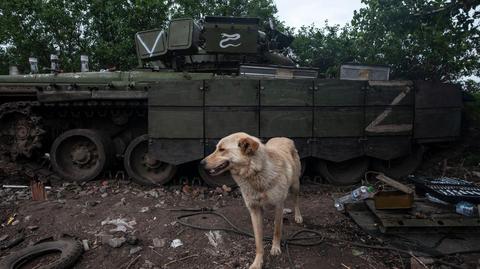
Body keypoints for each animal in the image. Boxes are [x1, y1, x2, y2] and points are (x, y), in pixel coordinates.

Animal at [201, 132, 302, 268]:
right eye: (217, 148)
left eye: (222, 149)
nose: (201, 163)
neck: (256, 172)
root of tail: (282, 137)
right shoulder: (254, 210)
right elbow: (258, 240)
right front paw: (257, 262)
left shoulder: (279, 205)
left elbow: (277, 230)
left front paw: (275, 247)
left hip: (295, 185)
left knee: (296, 201)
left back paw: (298, 216)